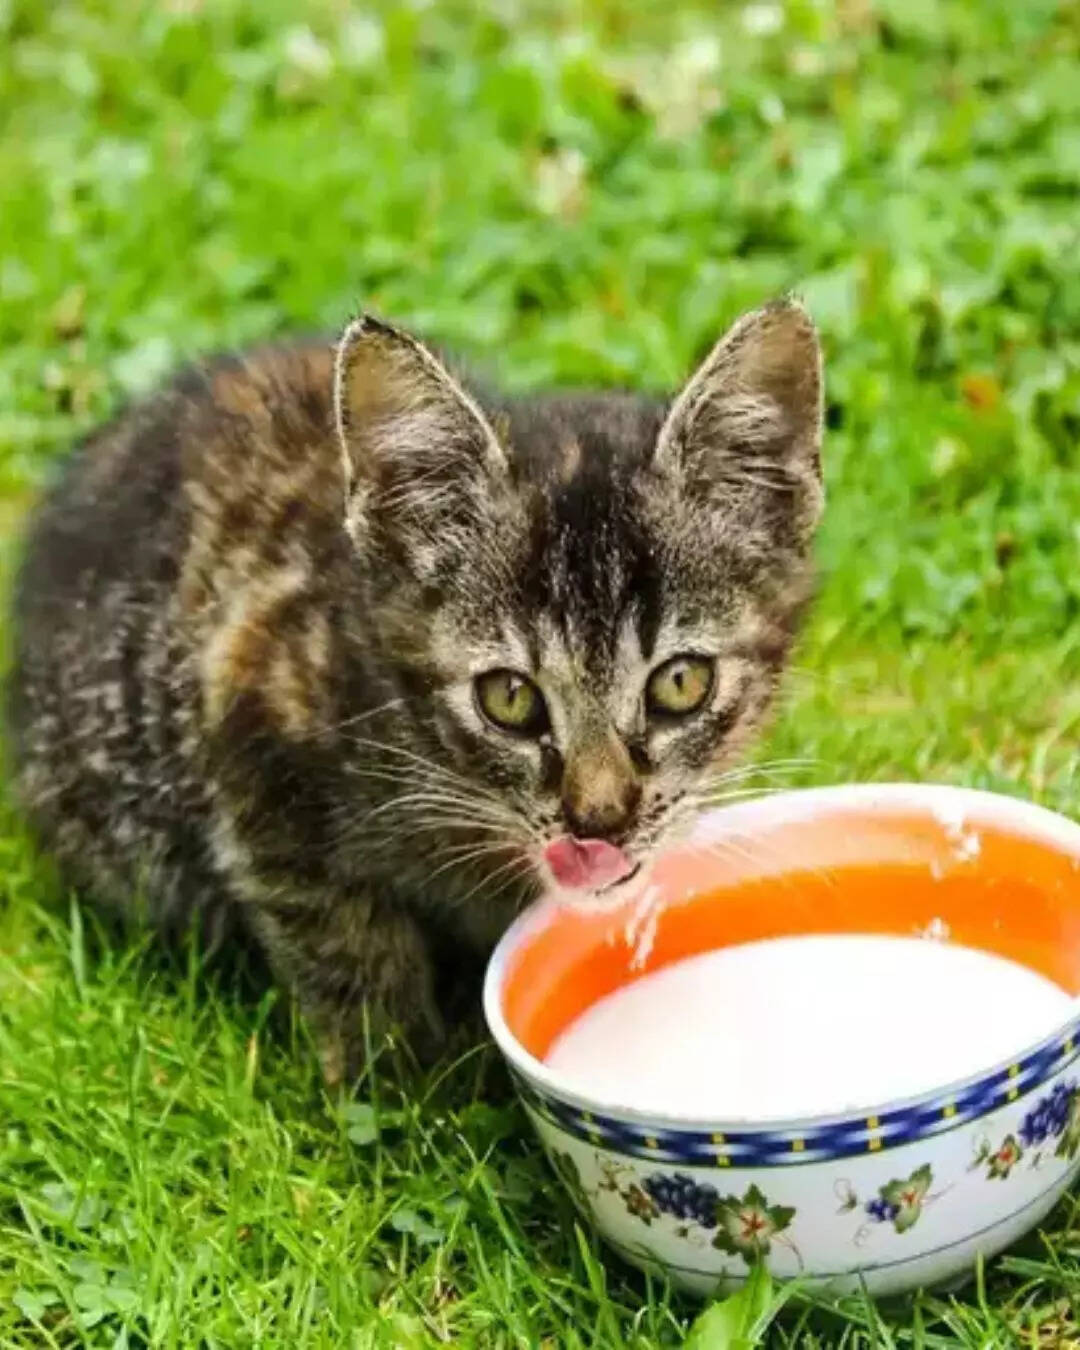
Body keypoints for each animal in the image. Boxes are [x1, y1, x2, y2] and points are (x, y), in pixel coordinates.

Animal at [8, 301, 820, 1080]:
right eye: (509, 699)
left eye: (681, 683)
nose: (600, 821)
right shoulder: (254, 717)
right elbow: (343, 940)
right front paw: (400, 1080)